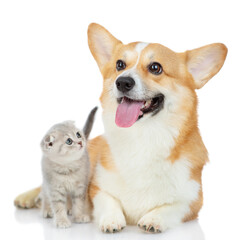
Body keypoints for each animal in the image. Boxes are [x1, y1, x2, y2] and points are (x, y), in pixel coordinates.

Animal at [14, 23, 227, 233]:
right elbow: (109, 201)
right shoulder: (97, 189)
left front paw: (153, 218)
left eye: (155, 67)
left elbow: (170, 207)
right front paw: (111, 219)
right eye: (120, 65)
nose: (123, 81)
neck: (142, 138)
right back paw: (28, 198)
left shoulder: (193, 202)